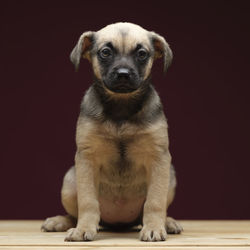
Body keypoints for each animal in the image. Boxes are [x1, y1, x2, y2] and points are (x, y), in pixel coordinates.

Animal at [40, 22, 182, 241]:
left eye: (142, 54)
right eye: (105, 52)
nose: (123, 74)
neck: (121, 108)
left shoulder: (159, 158)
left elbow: (154, 202)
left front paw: (154, 228)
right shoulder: (87, 159)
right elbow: (88, 202)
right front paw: (83, 229)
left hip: (170, 176)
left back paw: (167, 222)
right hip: (69, 181)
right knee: (75, 213)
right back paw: (61, 221)